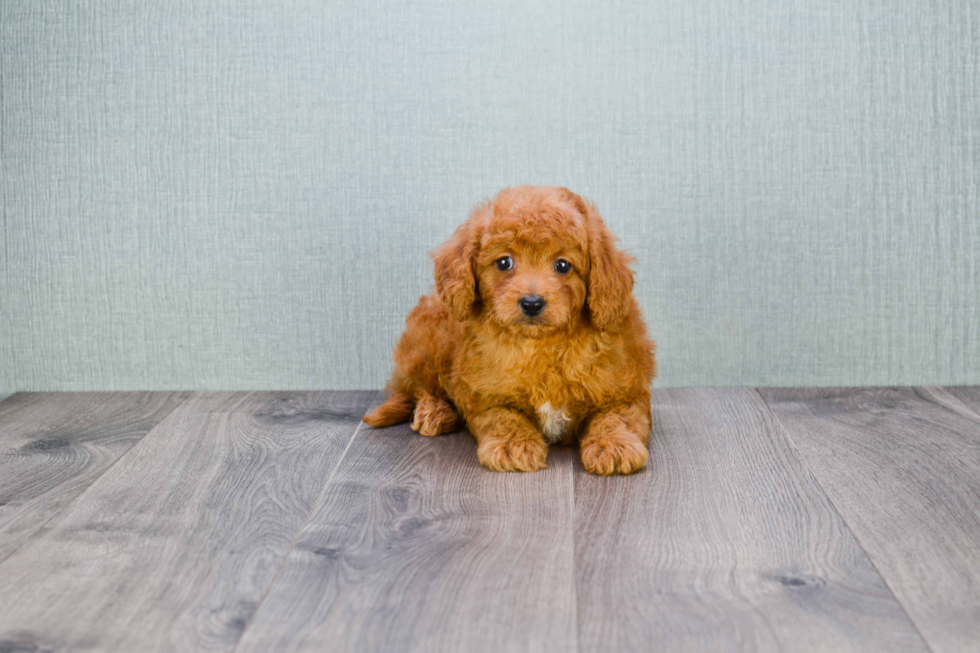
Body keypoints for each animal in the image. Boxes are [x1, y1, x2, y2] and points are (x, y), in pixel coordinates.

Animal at [366, 185, 660, 474]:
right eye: (504, 262)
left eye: (563, 265)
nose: (532, 303)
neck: (540, 344)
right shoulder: (484, 395)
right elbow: (503, 416)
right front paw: (514, 445)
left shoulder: (627, 390)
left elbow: (617, 417)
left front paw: (614, 445)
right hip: (426, 340)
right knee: (420, 388)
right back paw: (435, 411)